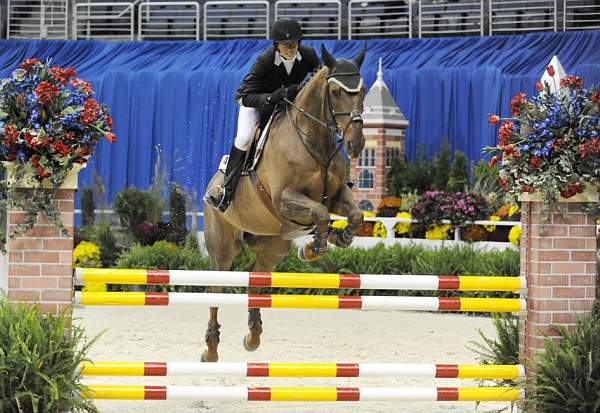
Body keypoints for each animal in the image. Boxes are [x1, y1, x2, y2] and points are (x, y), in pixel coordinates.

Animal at [203, 44, 366, 360]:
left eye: (362, 90)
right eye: (336, 91)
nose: (356, 144)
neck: (314, 141)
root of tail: (211, 184)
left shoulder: (337, 196)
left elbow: (355, 217)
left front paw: (335, 239)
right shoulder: (285, 200)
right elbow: (320, 213)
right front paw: (314, 248)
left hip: (273, 246)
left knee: (256, 279)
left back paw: (253, 335)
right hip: (224, 246)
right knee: (216, 288)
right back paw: (211, 348)